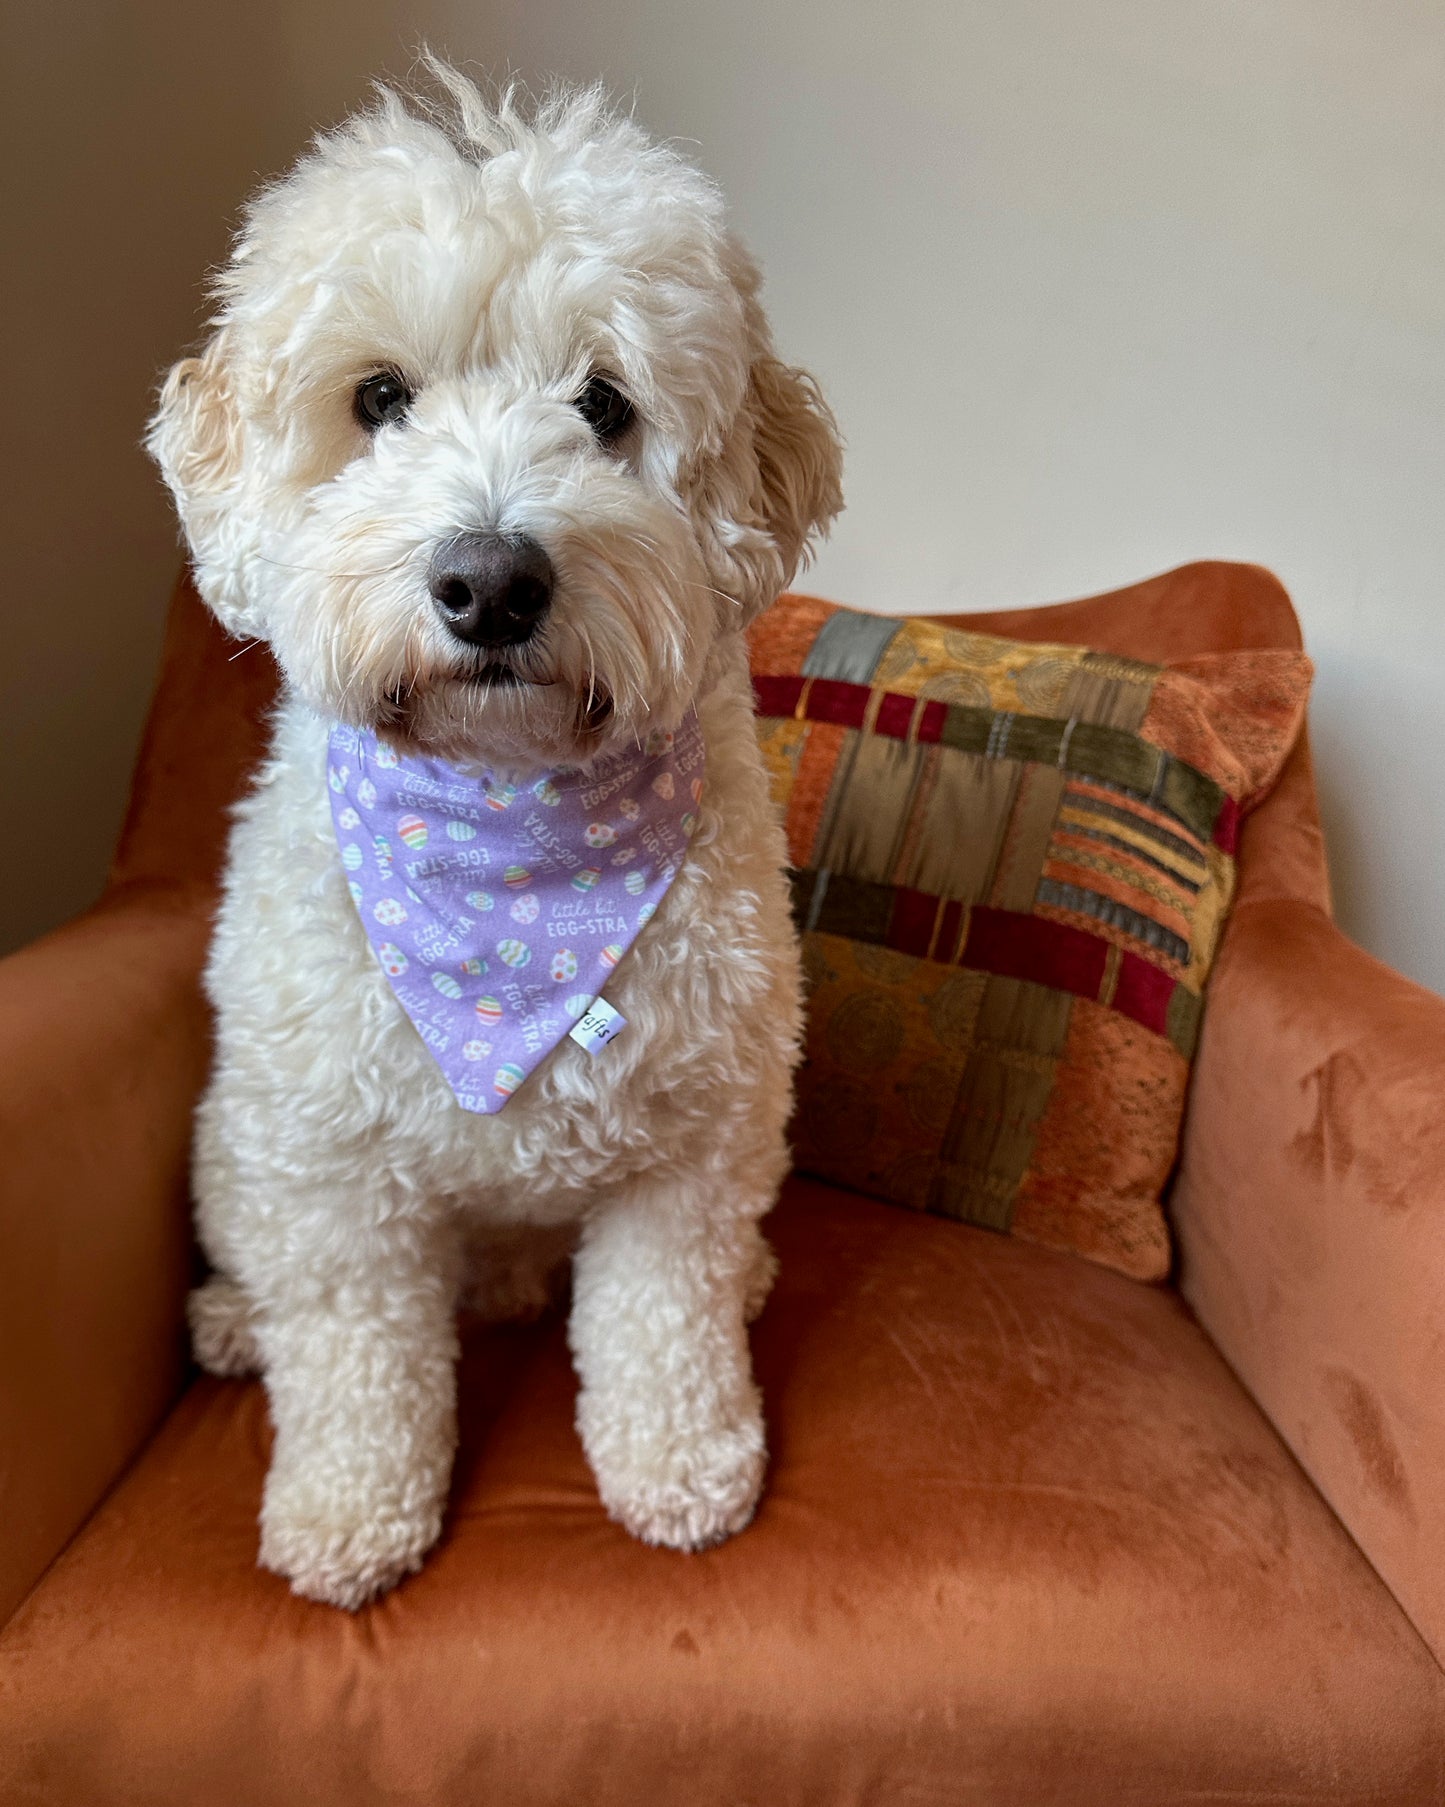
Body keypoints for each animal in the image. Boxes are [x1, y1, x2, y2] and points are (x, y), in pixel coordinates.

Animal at [145, 63, 841, 1611]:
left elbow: (664, 1322)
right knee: (264, 1267)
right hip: (234, 1141)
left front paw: (683, 1468)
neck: (510, 853)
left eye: (605, 402)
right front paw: (348, 1512)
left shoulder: (693, 1142)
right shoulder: (332, 1170)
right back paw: (232, 1320)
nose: (489, 581)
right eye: (377, 398)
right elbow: (353, 1358)